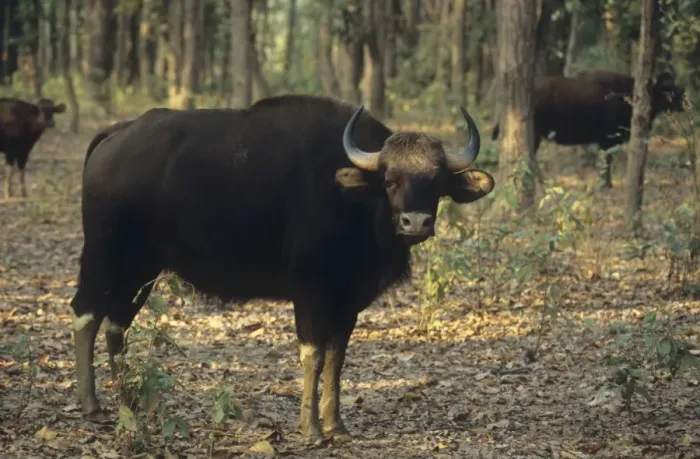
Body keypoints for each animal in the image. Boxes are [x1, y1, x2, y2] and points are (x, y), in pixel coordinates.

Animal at [70, 95, 495, 442]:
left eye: (435, 181)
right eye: (390, 180)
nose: (415, 222)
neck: (355, 204)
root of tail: (118, 133)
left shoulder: (348, 299)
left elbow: (337, 356)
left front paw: (336, 425)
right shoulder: (309, 290)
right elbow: (313, 354)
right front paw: (310, 428)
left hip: (143, 267)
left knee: (117, 324)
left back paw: (129, 405)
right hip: (105, 253)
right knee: (86, 313)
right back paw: (92, 406)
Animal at [491, 71, 685, 187]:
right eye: (668, 90)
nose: (683, 99)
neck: (628, 96)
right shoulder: (607, 140)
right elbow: (606, 161)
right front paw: (605, 185)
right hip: (535, 135)